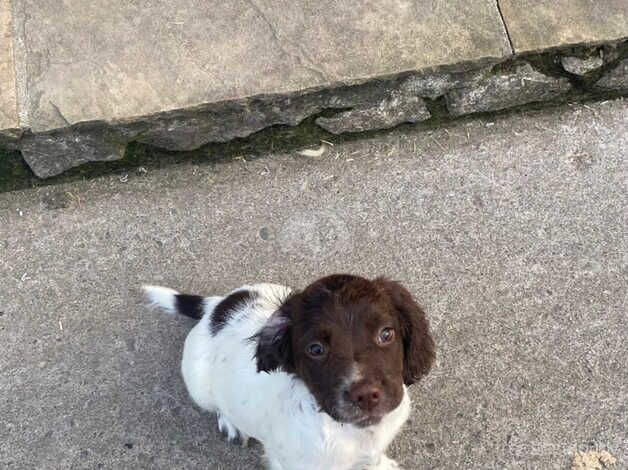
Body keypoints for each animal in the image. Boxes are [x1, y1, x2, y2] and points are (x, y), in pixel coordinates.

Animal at [144, 274, 434, 470]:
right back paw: (231, 423)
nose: (365, 396)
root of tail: (215, 308)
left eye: (386, 334)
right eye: (315, 349)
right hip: (198, 384)